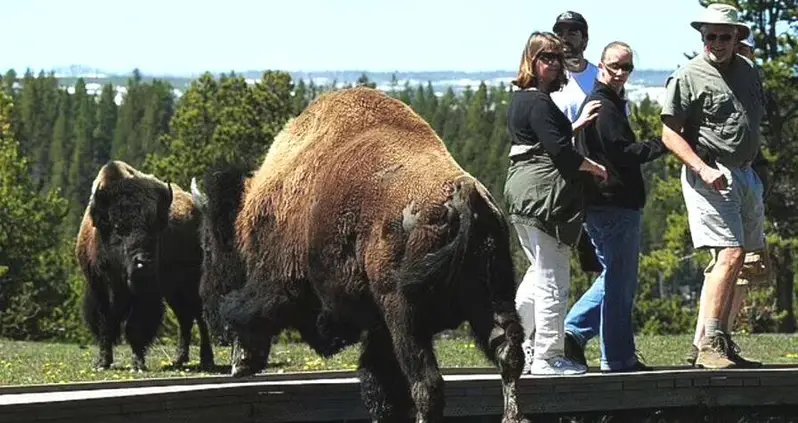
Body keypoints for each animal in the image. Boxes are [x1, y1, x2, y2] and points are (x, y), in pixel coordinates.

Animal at [76, 161, 214, 372]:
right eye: (118, 227)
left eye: (155, 228)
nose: (143, 263)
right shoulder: (99, 290)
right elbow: (105, 325)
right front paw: (103, 362)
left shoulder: (147, 294)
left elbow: (136, 327)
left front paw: (137, 363)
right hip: (173, 291)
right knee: (185, 319)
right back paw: (179, 359)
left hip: (191, 284)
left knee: (199, 317)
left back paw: (206, 360)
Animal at [192, 88, 532, 423]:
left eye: (212, 247)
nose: (208, 303)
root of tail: (462, 194)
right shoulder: (379, 327)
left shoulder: (279, 279)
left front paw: (241, 359)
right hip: (493, 296)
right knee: (507, 356)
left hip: (405, 314)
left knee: (426, 384)